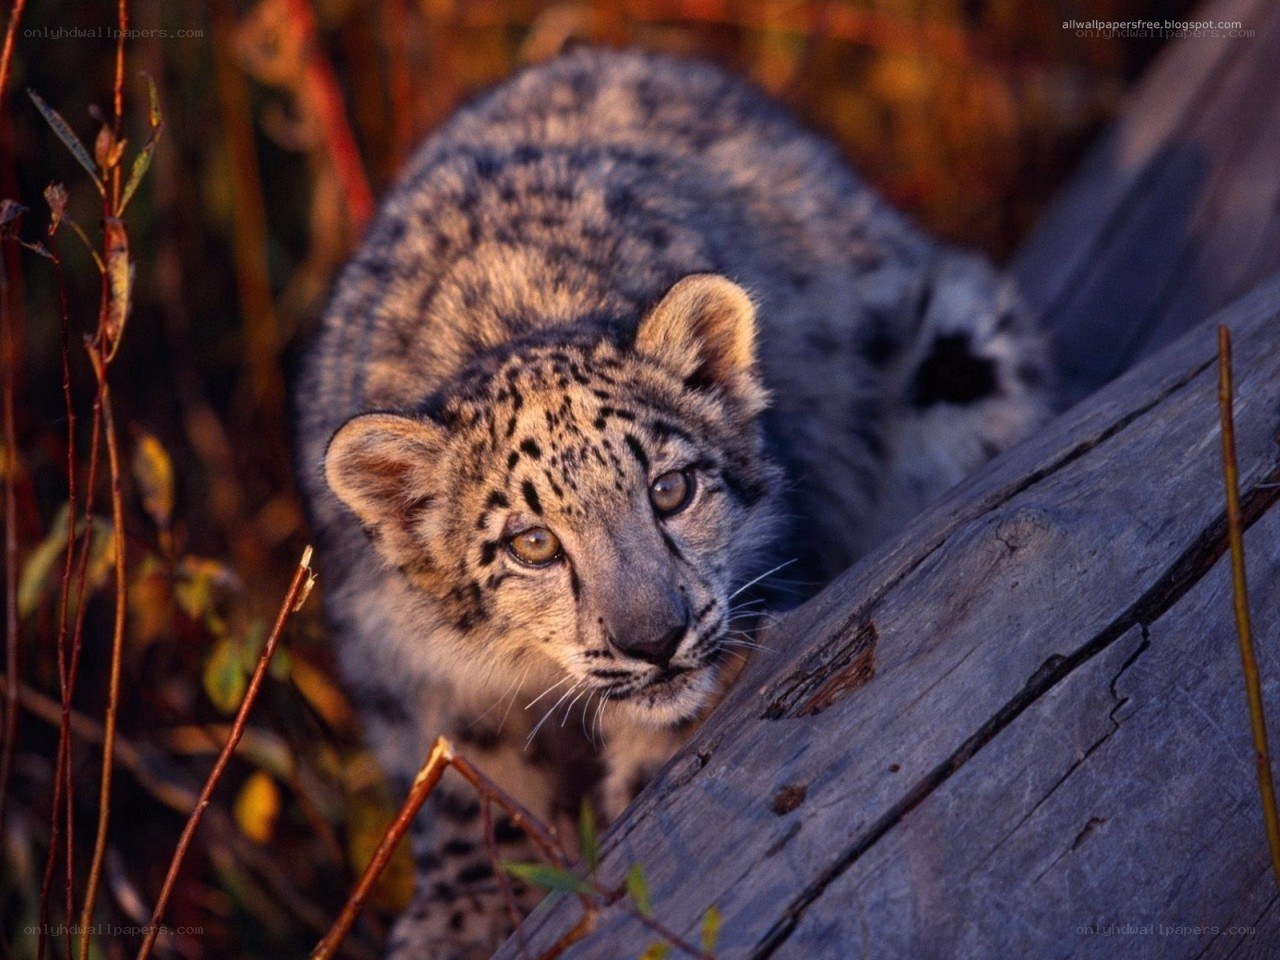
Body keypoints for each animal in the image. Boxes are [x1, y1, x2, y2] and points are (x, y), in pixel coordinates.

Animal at [295, 46, 1051, 959]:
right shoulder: (403, 665)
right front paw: (456, 917)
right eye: (531, 543)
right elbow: (470, 772)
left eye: (670, 489)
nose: (654, 640)